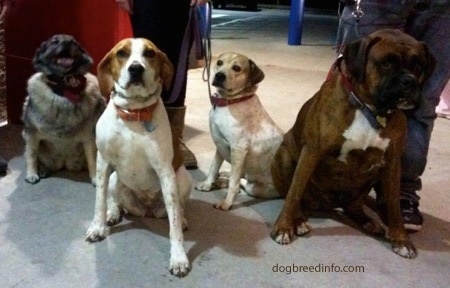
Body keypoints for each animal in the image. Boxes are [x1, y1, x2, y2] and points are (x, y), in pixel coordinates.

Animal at [22, 34, 105, 184]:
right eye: (54, 42)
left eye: (74, 43)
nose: (67, 42)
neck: (65, 85)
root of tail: (64, 162)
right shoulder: (31, 134)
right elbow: (31, 155)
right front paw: (31, 174)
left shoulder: (89, 139)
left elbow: (92, 159)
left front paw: (95, 177)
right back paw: (42, 169)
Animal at [85, 38, 192, 276]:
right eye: (121, 53)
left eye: (150, 53)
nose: (136, 69)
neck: (133, 114)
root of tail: (147, 209)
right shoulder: (103, 163)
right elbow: (99, 201)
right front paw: (98, 227)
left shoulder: (165, 171)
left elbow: (173, 225)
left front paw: (178, 257)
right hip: (115, 179)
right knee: (116, 201)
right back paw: (113, 213)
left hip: (183, 178)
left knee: (179, 208)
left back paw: (183, 218)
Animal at [196, 51, 284, 209]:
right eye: (219, 63)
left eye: (237, 68)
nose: (219, 75)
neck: (229, 102)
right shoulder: (220, 144)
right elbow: (213, 168)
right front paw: (207, 185)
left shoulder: (238, 149)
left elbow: (234, 183)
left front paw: (226, 203)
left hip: (254, 187)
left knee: (242, 183)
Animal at [270, 29, 436, 258]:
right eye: (386, 63)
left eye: (418, 65)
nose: (409, 81)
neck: (368, 108)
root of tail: (328, 203)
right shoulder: (311, 152)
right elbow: (294, 192)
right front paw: (284, 227)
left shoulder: (392, 164)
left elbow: (394, 205)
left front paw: (401, 240)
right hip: (284, 156)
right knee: (295, 195)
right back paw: (300, 220)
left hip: (373, 176)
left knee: (354, 206)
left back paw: (368, 222)